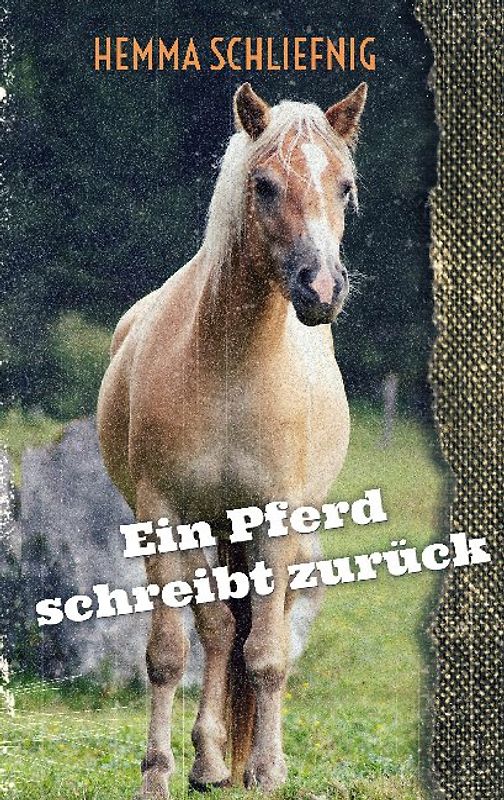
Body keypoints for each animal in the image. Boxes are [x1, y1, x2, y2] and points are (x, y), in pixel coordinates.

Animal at [97, 81, 367, 798]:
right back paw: (210, 761)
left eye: (345, 186)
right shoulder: (162, 515)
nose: (321, 286)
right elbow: (170, 652)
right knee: (217, 630)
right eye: (265, 184)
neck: (229, 368)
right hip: (211, 528)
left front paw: (268, 771)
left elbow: (267, 652)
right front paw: (157, 773)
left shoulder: (276, 518)